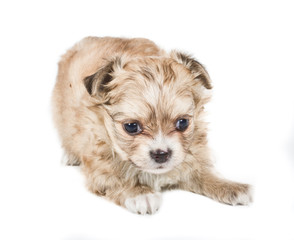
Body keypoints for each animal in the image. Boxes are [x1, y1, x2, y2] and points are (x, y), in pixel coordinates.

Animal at [51, 37, 252, 214]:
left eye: (183, 123)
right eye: (131, 127)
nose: (161, 154)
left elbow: (203, 172)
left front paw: (230, 186)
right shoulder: (100, 169)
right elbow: (116, 179)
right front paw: (140, 194)